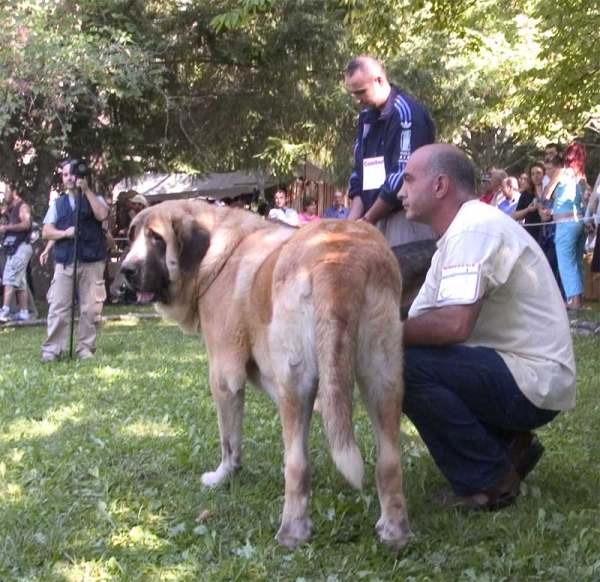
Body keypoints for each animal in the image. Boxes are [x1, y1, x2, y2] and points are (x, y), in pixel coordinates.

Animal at [122, 202, 412, 552]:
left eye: (156, 239)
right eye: (131, 235)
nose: (125, 270)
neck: (217, 253)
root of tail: (341, 257)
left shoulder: (224, 377)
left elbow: (229, 441)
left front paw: (223, 476)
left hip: (295, 383)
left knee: (297, 465)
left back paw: (292, 532)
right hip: (382, 376)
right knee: (389, 461)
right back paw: (395, 531)